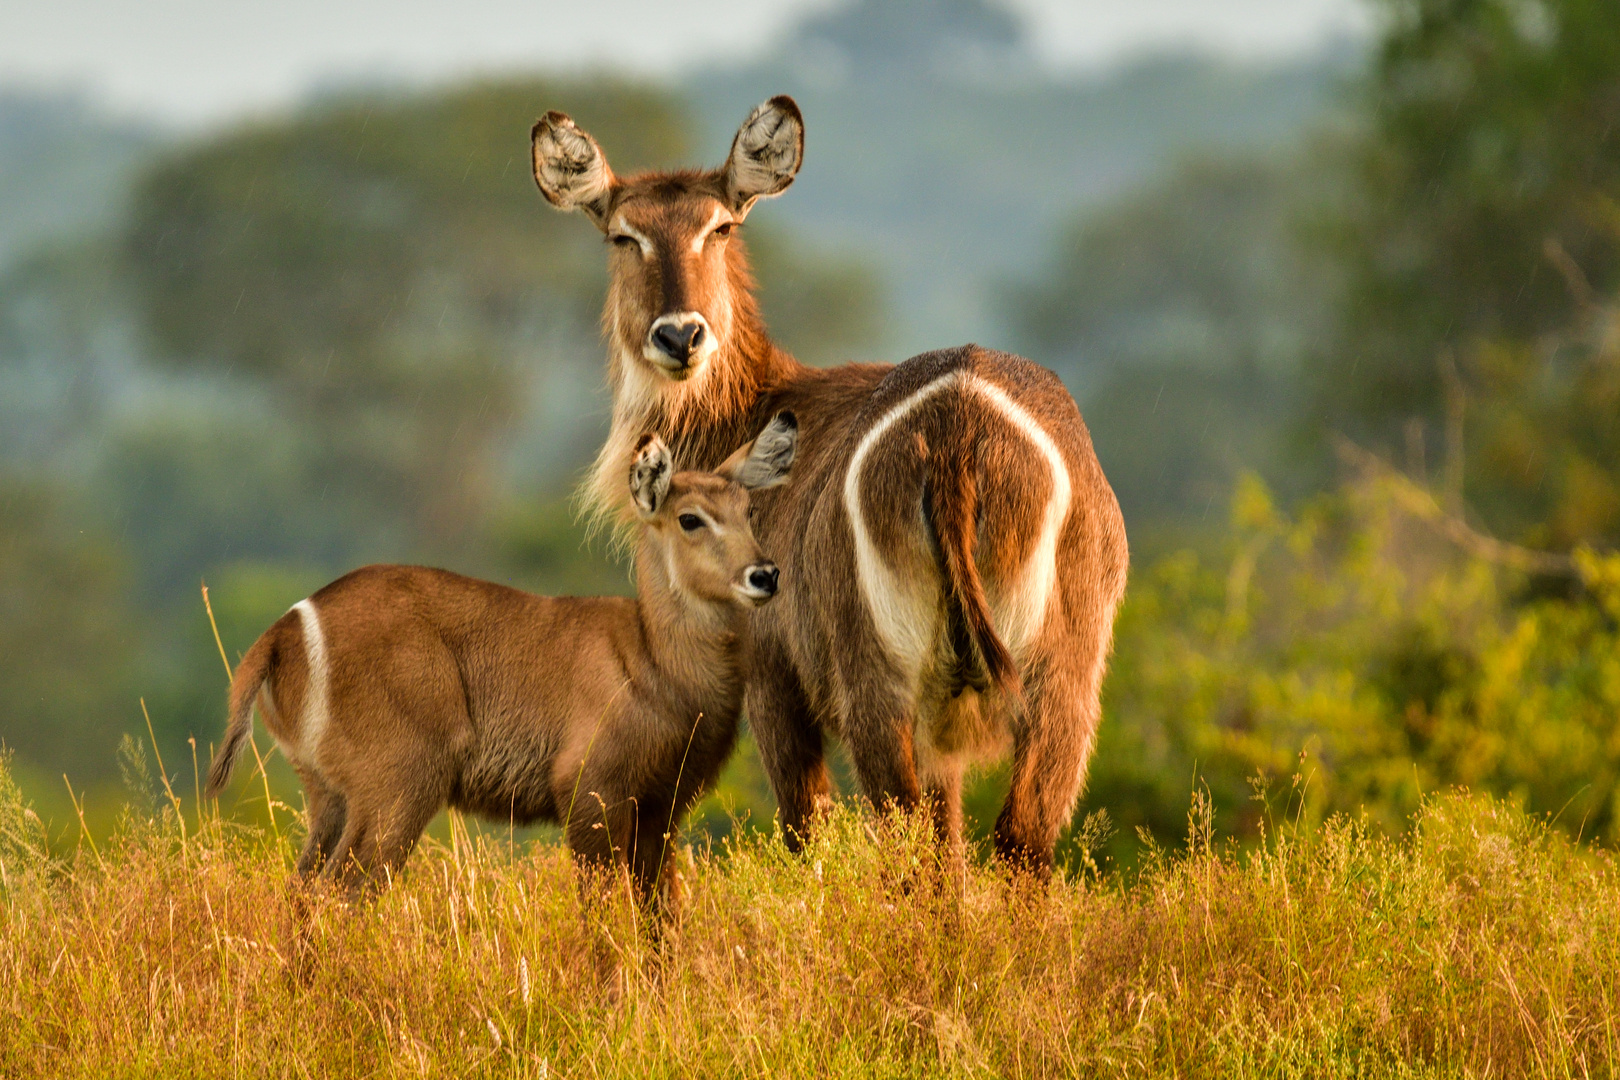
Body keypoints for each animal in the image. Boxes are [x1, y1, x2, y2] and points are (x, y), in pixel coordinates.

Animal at [205, 417, 800, 900]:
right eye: (690, 518)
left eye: (748, 510)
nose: (764, 574)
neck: (653, 661)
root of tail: (284, 628)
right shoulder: (591, 793)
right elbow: (603, 917)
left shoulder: (662, 806)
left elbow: (661, 920)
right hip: (398, 786)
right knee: (338, 893)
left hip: (328, 794)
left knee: (300, 893)